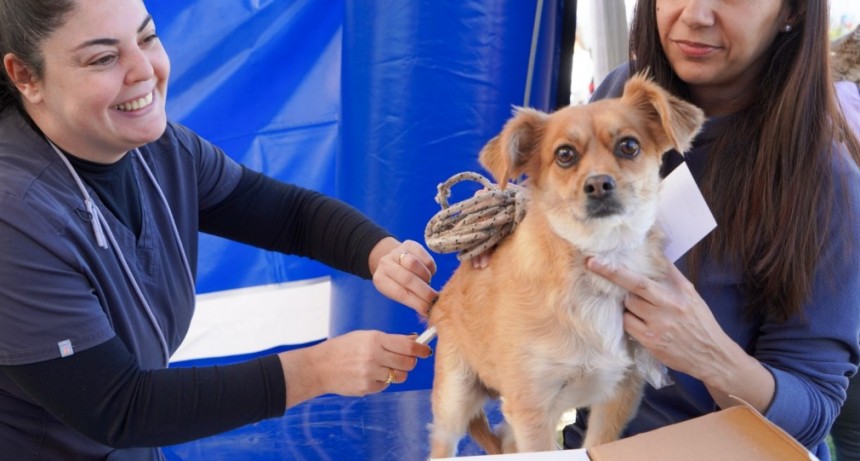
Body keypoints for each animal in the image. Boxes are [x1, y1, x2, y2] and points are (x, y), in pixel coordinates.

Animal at [426, 73, 704, 454]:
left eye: (629, 146)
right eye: (564, 155)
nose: (599, 183)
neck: (597, 261)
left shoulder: (618, 394)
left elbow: (598, 442)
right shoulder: (531, 408)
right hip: (456, 398)